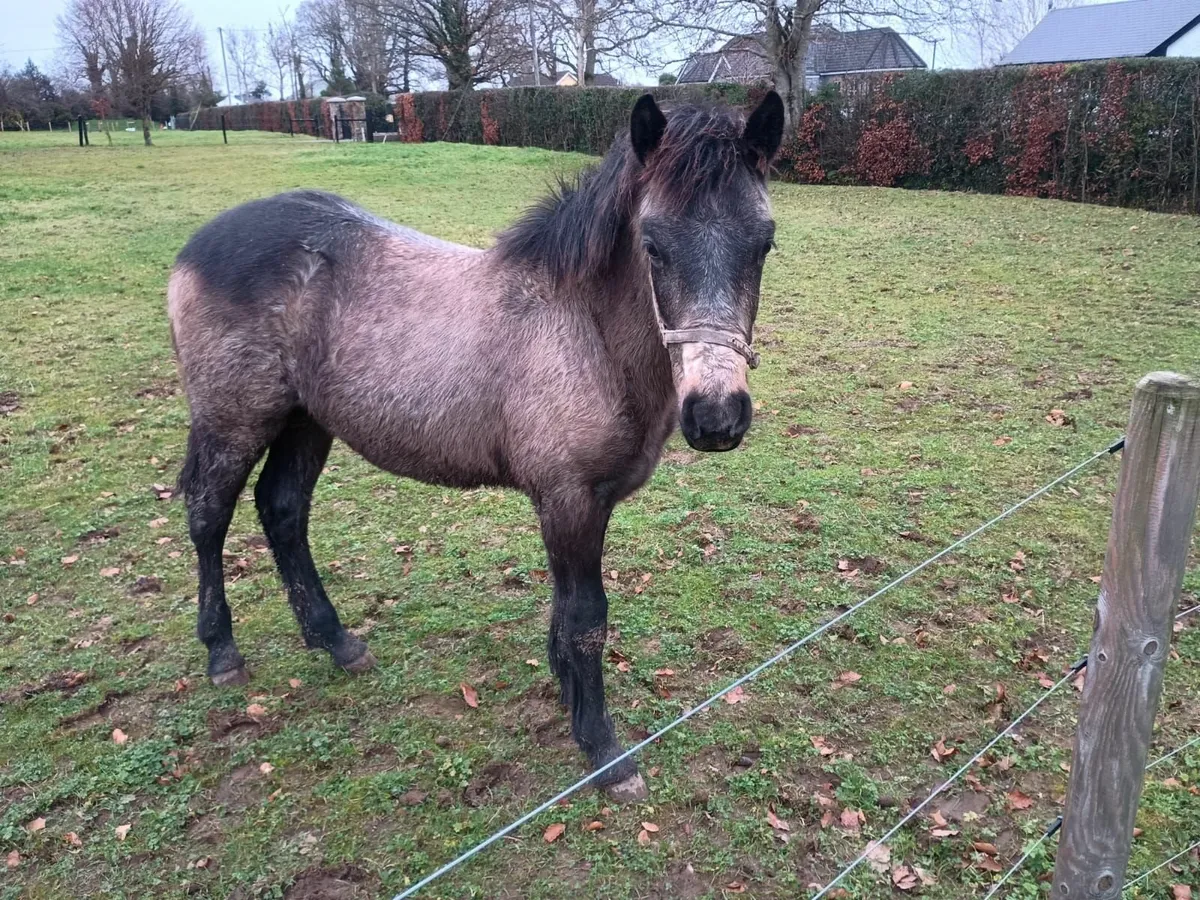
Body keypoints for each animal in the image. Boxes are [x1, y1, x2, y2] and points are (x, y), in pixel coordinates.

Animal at [168, 91, 784, 800]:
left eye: (764, 243)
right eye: (652, 245)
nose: (716, 416)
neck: (581, 331)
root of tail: (197, 245)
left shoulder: (582, 504)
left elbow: (565, 614)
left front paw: (568, 698)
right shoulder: (569, 499)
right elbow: (587, 620)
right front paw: (604, 750)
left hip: (305, 421)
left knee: (283, 510)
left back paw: (336, 641)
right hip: (233, 421)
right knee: (209, 515)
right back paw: (222, 653)